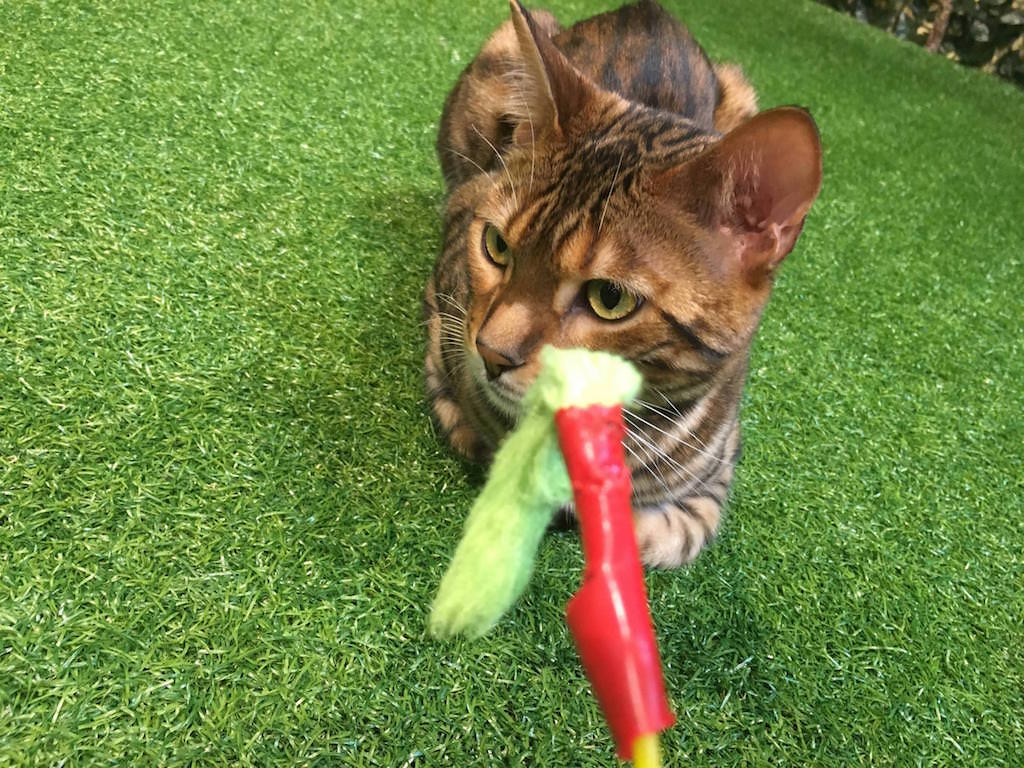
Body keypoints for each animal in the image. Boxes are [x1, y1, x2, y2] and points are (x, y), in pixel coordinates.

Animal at [424, 0, 822, 568]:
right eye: (496, 246)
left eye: (609, 299)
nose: (492, 355)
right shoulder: (444, 311)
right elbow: (460, 411)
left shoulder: (718, 472)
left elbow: (674, 529)